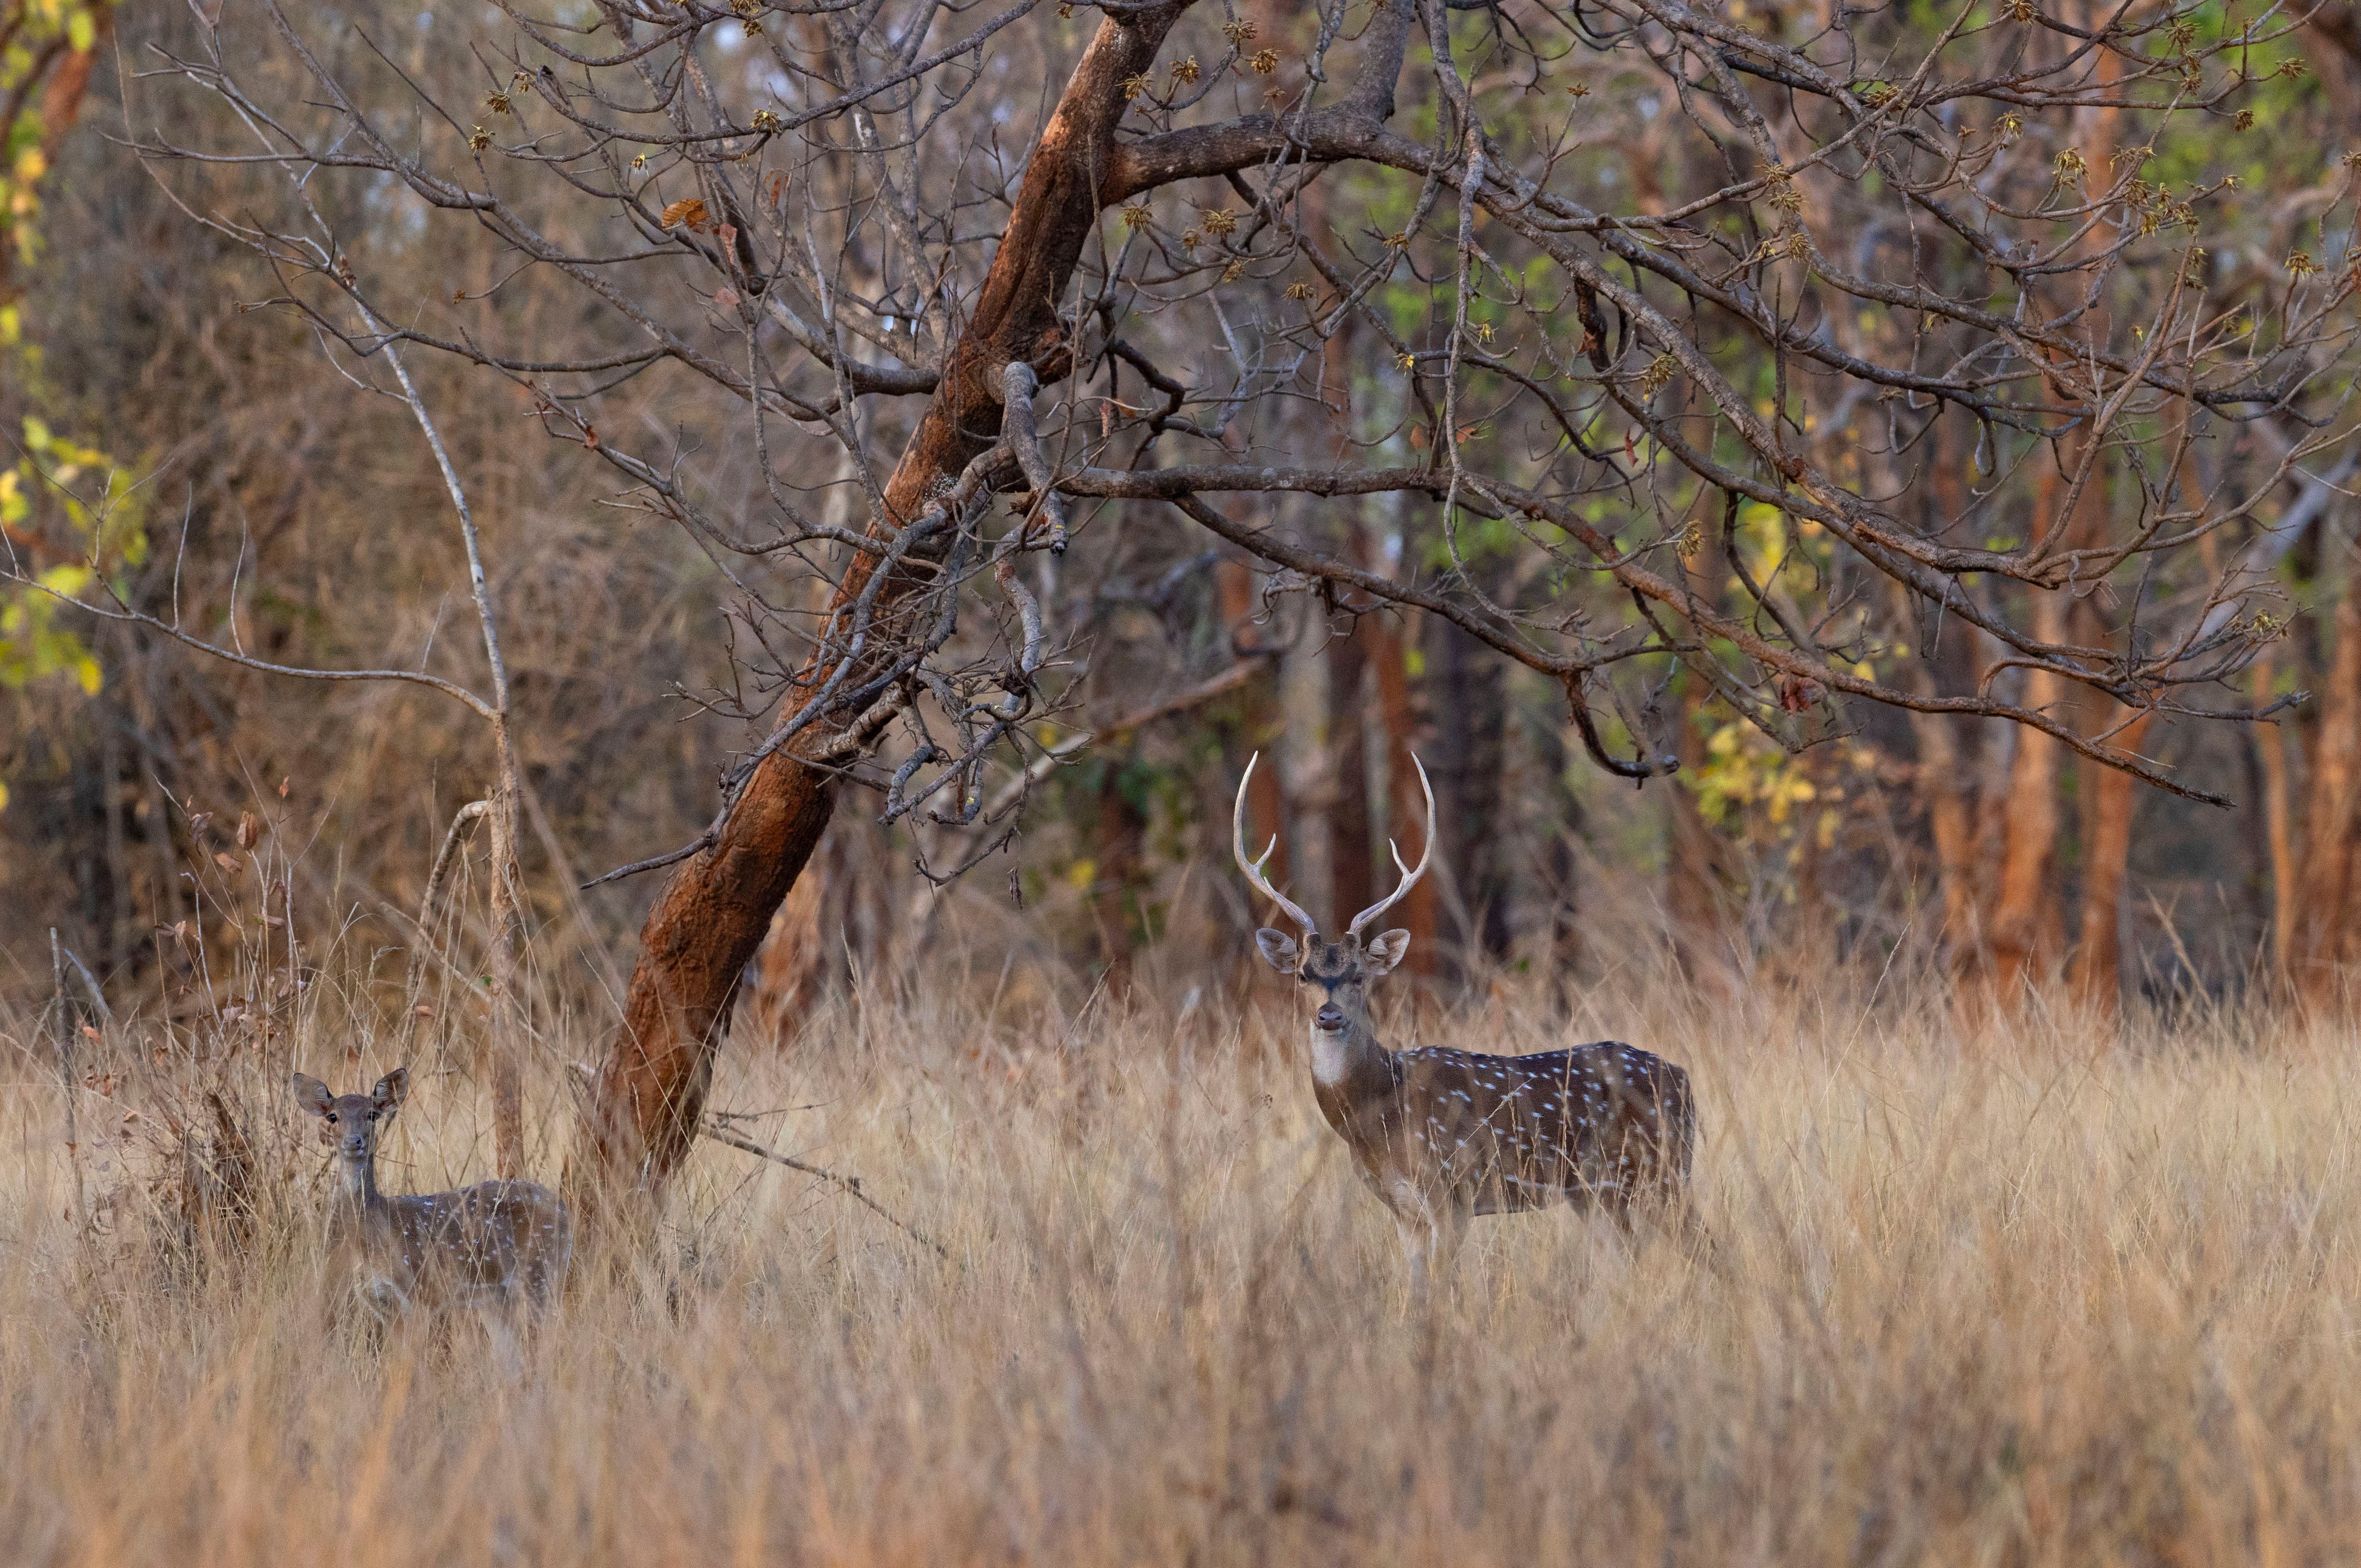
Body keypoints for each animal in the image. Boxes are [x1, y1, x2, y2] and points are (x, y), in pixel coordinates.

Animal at [290, 1067, 572, 1324]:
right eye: (333, 1116)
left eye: (372, 1114)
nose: (353, 1142)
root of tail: (564, 1208)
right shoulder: (383, 1307)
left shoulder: (422, 1296)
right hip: (497, 1300)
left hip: (541, 1273)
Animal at [1234, 755, 1696, 1292]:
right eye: (1304, 975)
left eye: (1358, 976)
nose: (1328, 1014)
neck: (1377, 1119)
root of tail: (1685, 1079)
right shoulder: (1401, 1209)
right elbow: (1416, 1291)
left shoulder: (1450, 1190)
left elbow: (1440, 1288)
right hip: (1597, 1193)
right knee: (1627, 1261)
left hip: (1661, 1171)